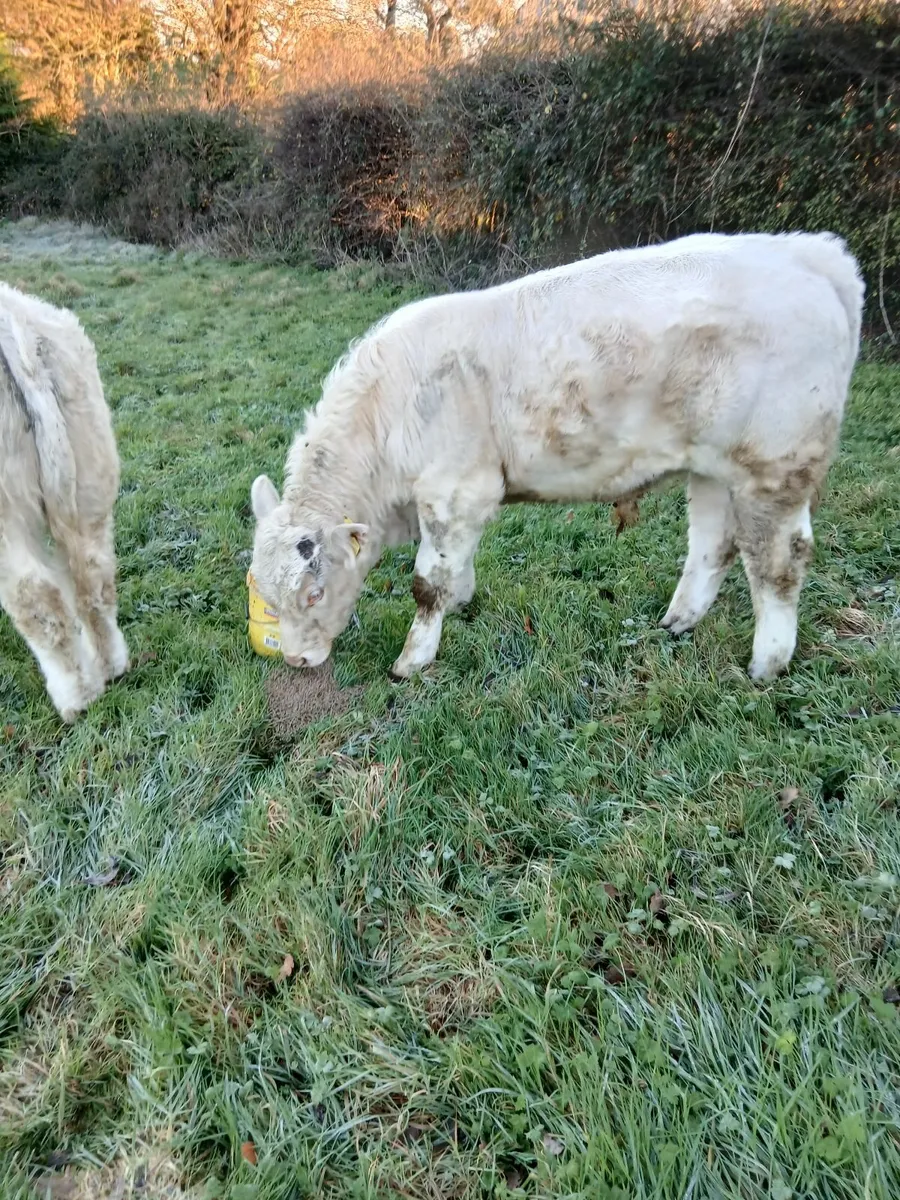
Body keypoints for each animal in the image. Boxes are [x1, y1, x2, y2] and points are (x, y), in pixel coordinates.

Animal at [250, 232, 863, 682]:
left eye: (314, 591)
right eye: (264, 592)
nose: (296, 659)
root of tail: (810, 252)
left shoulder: (455, 491)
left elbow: (428, 582)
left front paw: (412, 659)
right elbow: (454, 568)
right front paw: (463, 602)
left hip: (775, 466)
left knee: (779, 560)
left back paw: (766, 664)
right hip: (713, 464)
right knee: (713, 543)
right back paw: (676, 623)